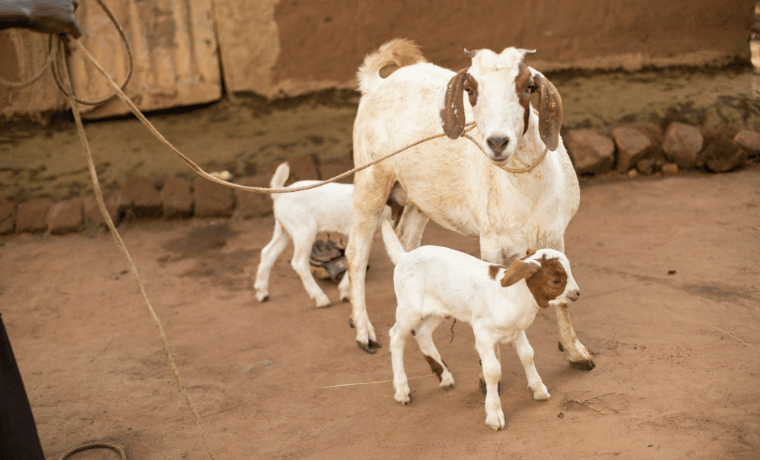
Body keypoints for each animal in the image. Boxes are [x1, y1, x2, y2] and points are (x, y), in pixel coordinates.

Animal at [344, 38, 592, 370]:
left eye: (527, 87)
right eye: (471, 90)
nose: (497, 142)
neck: (528, 190)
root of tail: (377, 82)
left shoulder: (555, 235)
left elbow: (563, 300)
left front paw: (576, 352)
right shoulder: (492, 242)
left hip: (421, 198)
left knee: (405, 240)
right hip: (371, 177)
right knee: (356, 253)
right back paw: (363, 332)